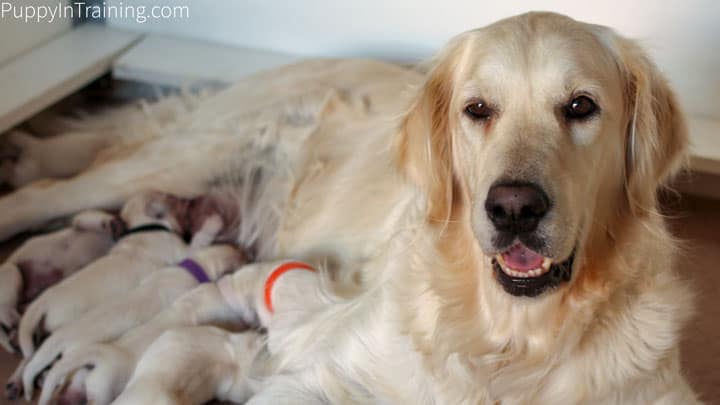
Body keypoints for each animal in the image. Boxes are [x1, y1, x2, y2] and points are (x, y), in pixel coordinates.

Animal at [0, 210, 119, 352]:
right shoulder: (80, 223)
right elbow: (89, 218)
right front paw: (110, 223)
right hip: (12, 271)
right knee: (6, 311)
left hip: (25, 297)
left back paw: (18, 333)